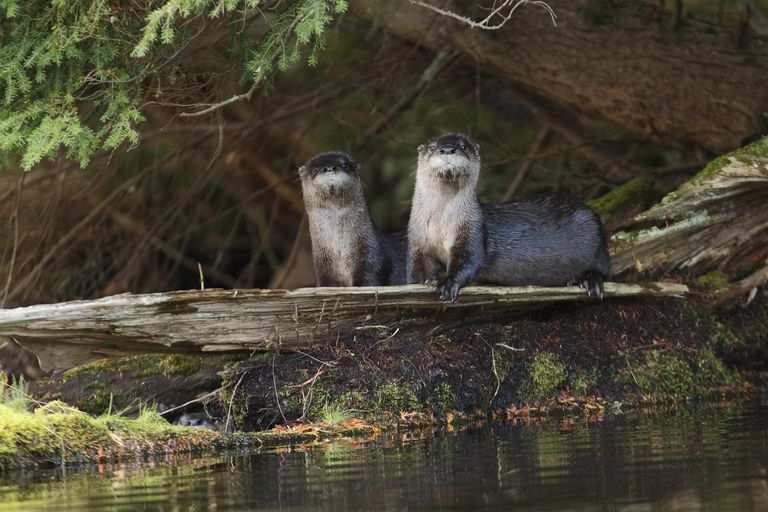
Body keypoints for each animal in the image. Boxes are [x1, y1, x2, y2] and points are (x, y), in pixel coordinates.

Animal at [298, 151, 408, 288]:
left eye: (344, 164)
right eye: (315, 169)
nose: (329, 168)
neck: (340, 249)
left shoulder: (369, 253)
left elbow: (368, 276)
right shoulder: (323, 264)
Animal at [404, 132, 608, 302]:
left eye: (463, 146)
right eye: (432, 147)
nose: (447, 149)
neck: (441, 225)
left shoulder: (473, 231)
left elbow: (469, 260)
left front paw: (448, 283)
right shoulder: (418, 242)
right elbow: (415, 270)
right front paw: (422, 281)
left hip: (594, 235)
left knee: (603, 269)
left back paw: (589, 281)